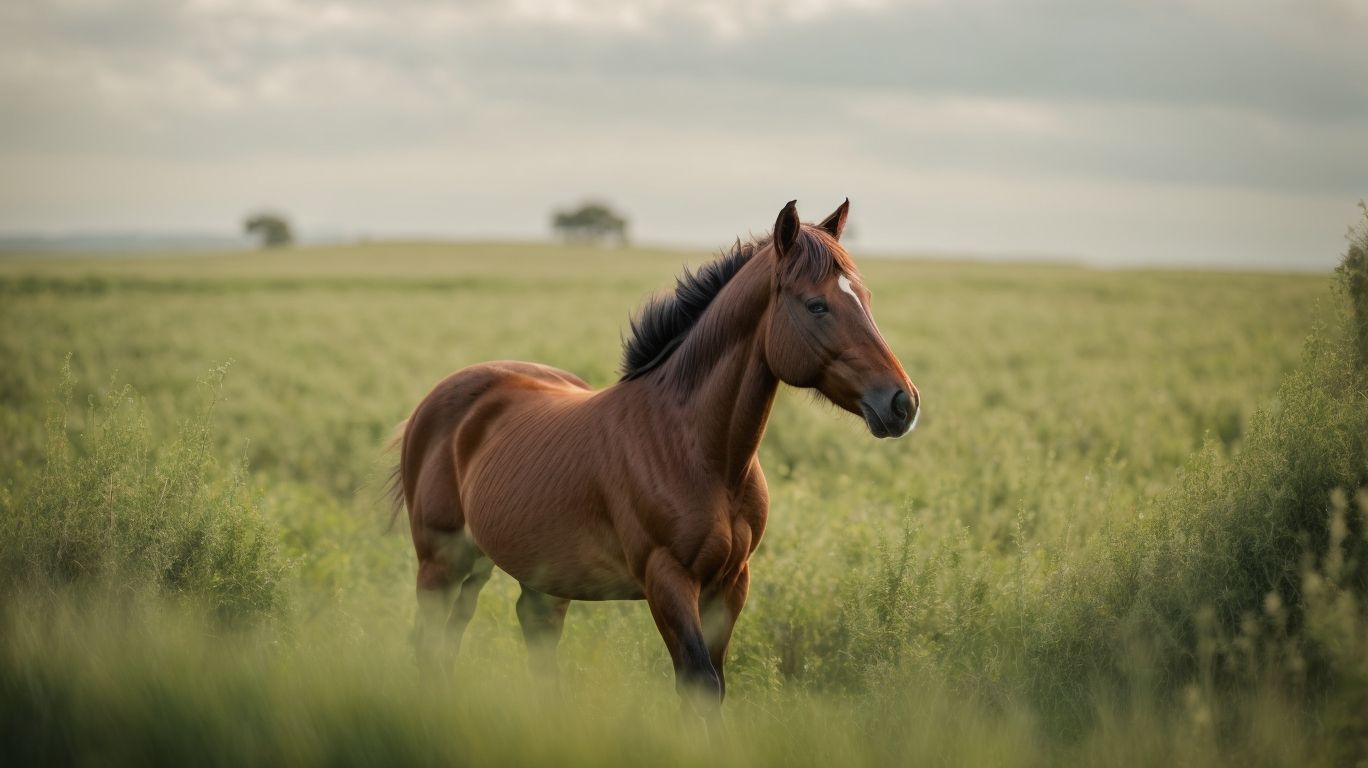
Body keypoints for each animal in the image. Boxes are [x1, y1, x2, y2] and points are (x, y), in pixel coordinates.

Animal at [392, 199, 919, 713]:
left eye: (865, 298)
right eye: (816, 305)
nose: (902, 403)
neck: (698, 452)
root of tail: (434, 403)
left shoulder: (731, 581)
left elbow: (716, 682)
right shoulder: (666, 578)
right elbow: (698, 682)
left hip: (520, 571)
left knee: (517, 636)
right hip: (442, 561)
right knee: (431, 643)